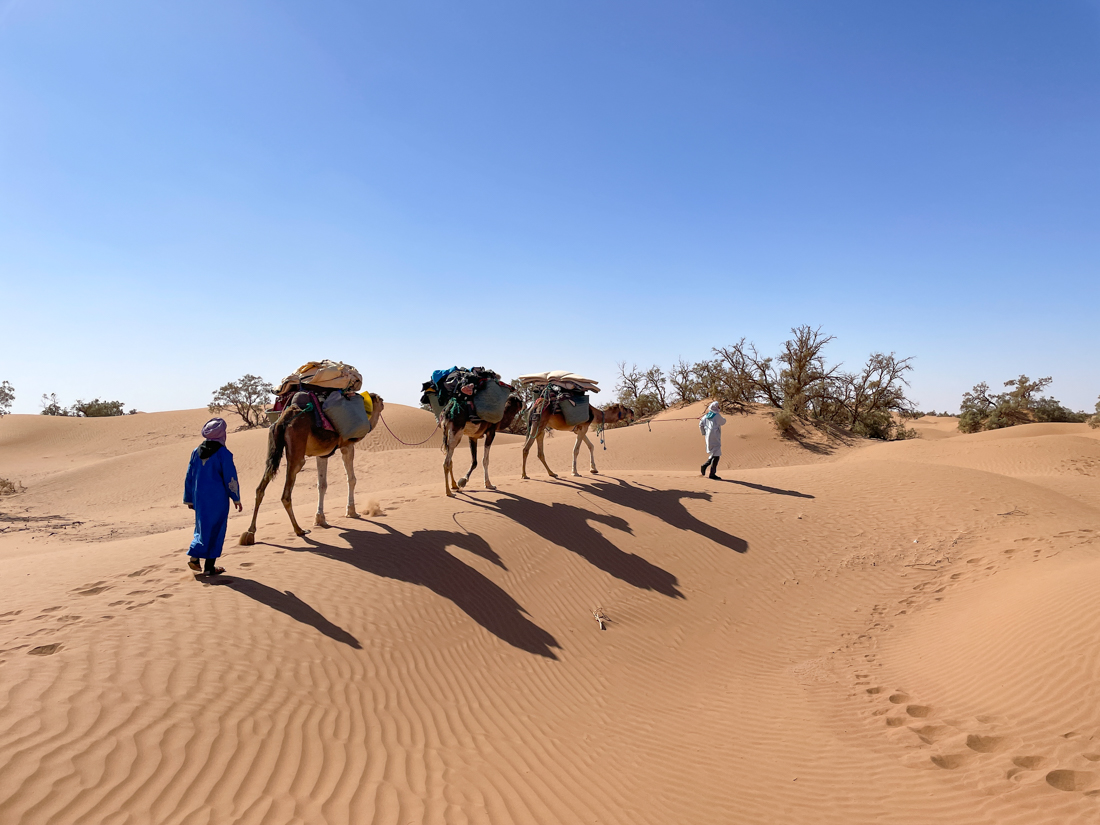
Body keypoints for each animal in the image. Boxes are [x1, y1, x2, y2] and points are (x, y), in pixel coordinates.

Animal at [239, 391, 382, 545]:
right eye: (380, 400)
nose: (383, 402)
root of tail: (284, 420)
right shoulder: (347, 446)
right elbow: (351, 479)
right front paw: (352, 512)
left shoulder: (322, 454)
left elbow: (322, 485)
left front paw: (320, 519)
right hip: (297, 451)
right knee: (286, 495)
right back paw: (299, 530)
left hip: (273, 449)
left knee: (261, 487)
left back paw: (250, 533)